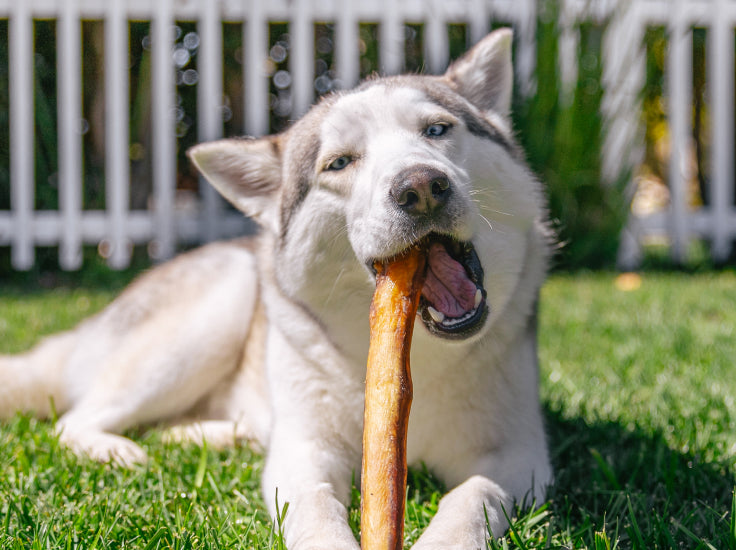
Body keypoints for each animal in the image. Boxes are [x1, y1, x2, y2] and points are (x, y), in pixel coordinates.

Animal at [0, 31, 552, 550]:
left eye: (436, 129)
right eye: (339, 163)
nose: (419, 187)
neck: (420, 356)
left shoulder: (518, 455)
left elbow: (471, 496)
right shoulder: (305, 451)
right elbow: (314, 506)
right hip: (215, 310)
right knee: (74, 420)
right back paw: (116, 449)